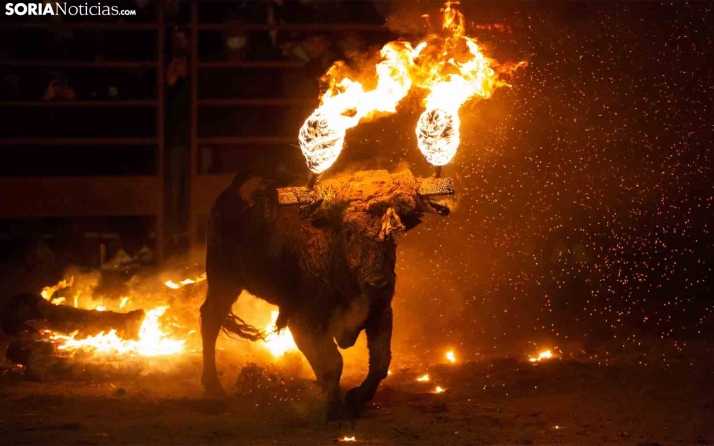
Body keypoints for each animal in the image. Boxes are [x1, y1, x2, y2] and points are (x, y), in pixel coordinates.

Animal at [199, 169, 450, 420]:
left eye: (393, 235)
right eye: (348, 232)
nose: (378, 283)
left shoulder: (381, 313)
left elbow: (380, 362)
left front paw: (355, 397)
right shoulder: (304, 321)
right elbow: (332, 363)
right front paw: (333, 408)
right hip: (224, 280)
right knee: (210, 319)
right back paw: (213, 390)